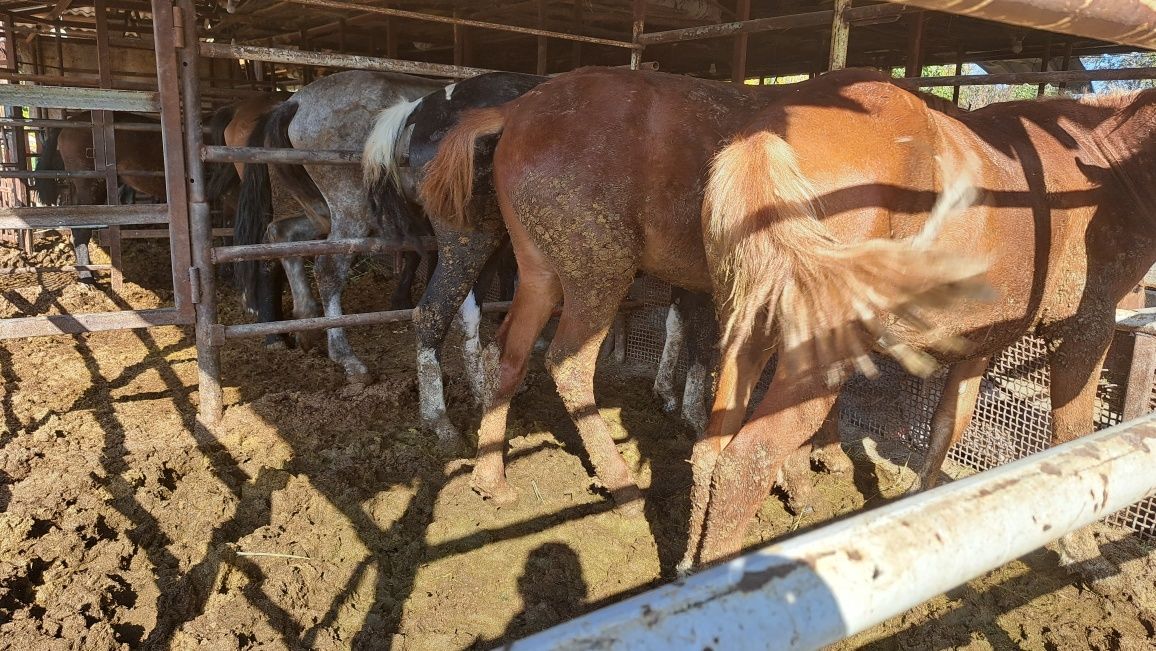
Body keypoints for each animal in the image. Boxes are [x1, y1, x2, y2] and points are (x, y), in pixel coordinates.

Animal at [416, 67, 975, 515]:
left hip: (538, 273)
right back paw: (621, 485)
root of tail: (518, 110)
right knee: (566, 366)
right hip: (598, 275)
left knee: (507, 353)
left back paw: (492, 479)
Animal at [684, 68, 1156, 571]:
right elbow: (1075, 436)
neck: (1109, 172)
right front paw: (1084, 552)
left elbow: (949, 423)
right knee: (746, 461)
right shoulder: (1084, 330)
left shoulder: (981, 340)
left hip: (748, 327)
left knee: (710, 450)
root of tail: (766, 132)